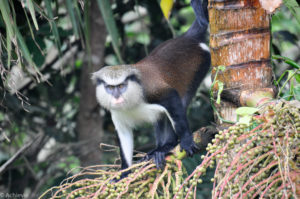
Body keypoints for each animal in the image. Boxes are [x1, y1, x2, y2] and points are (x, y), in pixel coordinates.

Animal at [92, 0, 211, 169]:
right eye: (110, 87)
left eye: (121, 86)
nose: (116, 97)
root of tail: (186, 38)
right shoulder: (116, 114)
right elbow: (124, 134)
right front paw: (125, 171)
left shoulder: (152, 91)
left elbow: (172, 98)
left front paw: (186, 140)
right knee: (159, 118)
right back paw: (159, 149)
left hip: (200, 64)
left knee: (180, 103)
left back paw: (168, 145)